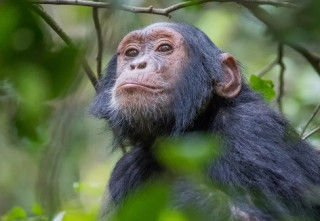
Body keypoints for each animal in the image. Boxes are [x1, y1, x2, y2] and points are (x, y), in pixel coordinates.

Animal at [89, 23, 320, 220]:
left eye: (164, 48)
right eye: (131, 53)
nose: (137, 64)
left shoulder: (250, 129)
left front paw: (179, 192)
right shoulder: (123, 171)